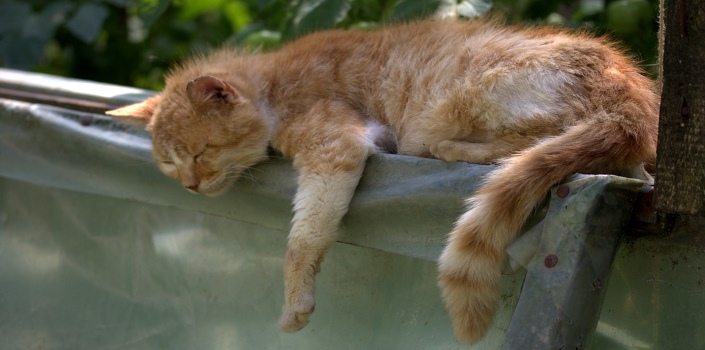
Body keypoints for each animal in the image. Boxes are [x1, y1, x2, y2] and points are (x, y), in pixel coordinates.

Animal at [106, 19, 660, 344]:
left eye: (200, 153)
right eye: (169, 164)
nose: (189, 187)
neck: (273, 85)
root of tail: (630, 98)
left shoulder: (336, 148)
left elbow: (302, 241)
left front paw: (295, 303)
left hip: (461, 98)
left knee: (535, 141)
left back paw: (452, 149)